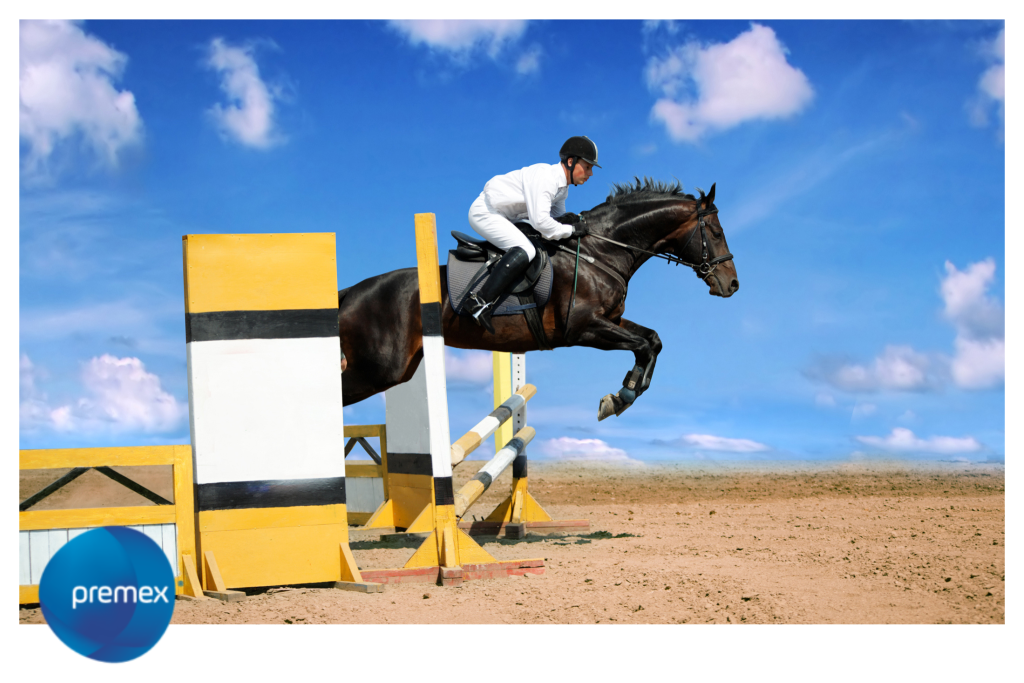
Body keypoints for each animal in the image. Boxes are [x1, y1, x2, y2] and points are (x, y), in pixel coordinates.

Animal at [339, 176, 741, 421]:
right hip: (379, 370)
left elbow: (653, 341)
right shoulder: (582, 329)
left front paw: (622, 396)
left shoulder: (609, 320)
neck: (600, 251)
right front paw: (619, 398)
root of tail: (346, 296)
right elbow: (643, 344)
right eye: (716, 232)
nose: (732, 284)